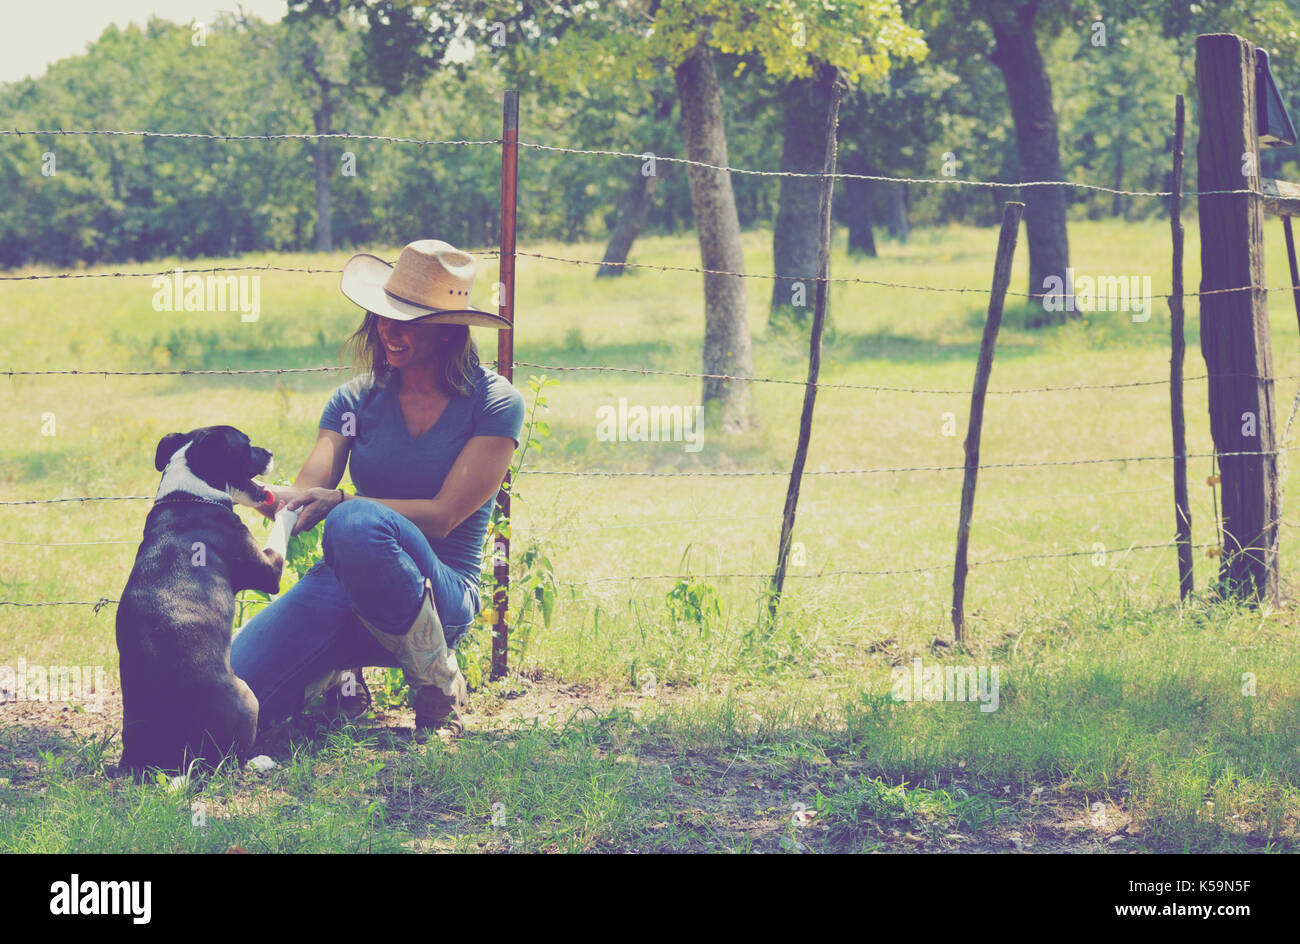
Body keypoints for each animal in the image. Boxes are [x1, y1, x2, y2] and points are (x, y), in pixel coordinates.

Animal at [115, 426, 295, 774]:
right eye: (246, 445)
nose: (269, 452)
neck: (191, 493)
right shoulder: (268, 570)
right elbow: (281, 530)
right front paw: (291, 508)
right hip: (247, 695)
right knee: (232, 760)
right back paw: (261, 761)